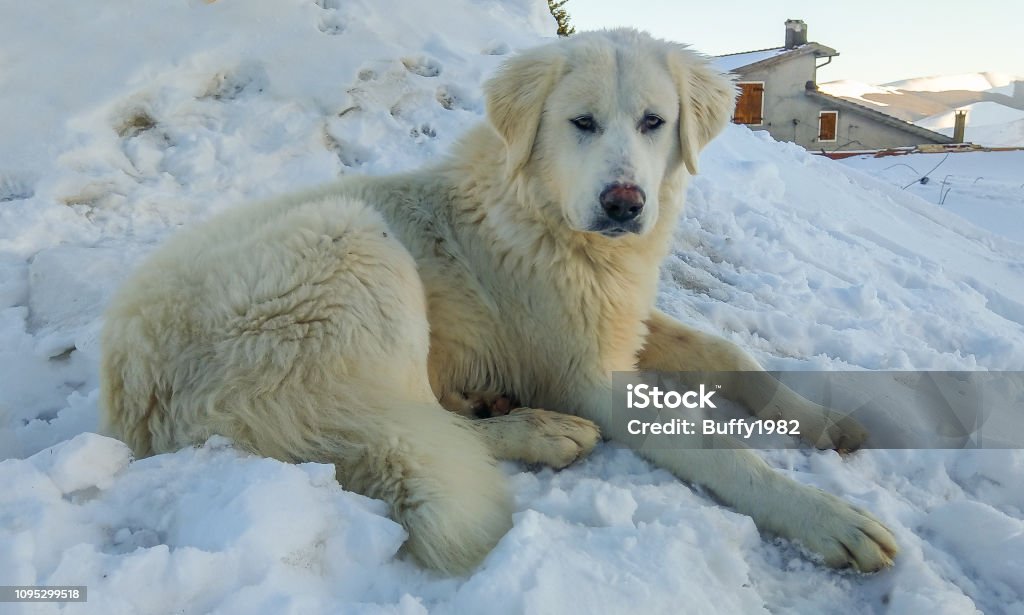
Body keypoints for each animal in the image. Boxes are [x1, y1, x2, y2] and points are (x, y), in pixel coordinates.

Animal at [101, 28, 897, 577]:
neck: (545, 216)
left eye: (653, 122)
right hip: (357, 248)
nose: (624, 203)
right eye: (581, 123)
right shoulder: (587, 376)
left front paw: (823, 420)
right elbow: (717, 448)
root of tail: (132, 390)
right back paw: (540, 430)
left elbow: (730, 354)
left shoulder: (625, 321)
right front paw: (828, 516)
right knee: (401, 432)